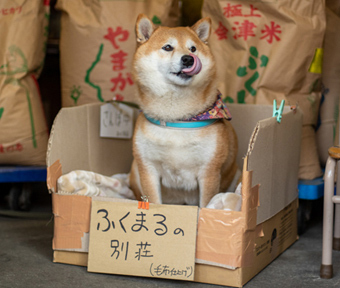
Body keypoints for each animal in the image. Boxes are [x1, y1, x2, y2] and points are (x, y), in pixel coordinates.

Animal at [129, 14, 238, 207]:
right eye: (167, 47)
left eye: (193, 48)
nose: (188, 59)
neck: (178, 119)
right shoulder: (147, 168)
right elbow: (154, 201)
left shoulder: (209, 172)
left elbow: (206, 204)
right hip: (135, 170)